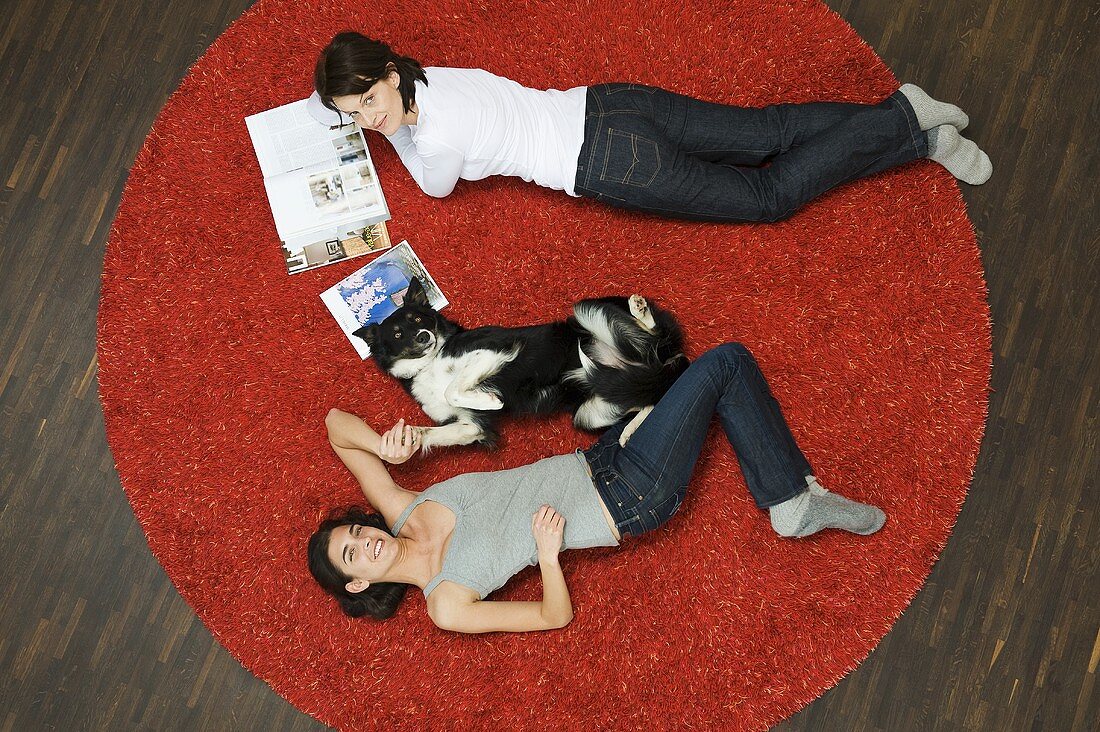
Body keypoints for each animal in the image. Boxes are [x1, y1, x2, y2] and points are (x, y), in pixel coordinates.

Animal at [354, 278, 686, 449]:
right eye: (398, 334)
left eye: (419, 319)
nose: (424, 336)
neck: (429, 363)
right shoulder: (471, 426)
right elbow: (431, 433)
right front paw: (406, 439)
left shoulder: (494, 351)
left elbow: (454, 388)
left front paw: (491, 400)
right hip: (593, 412)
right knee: (652, 396)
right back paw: (630, 430)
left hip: (587, 311)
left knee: (656, 338)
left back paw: (640, 309)